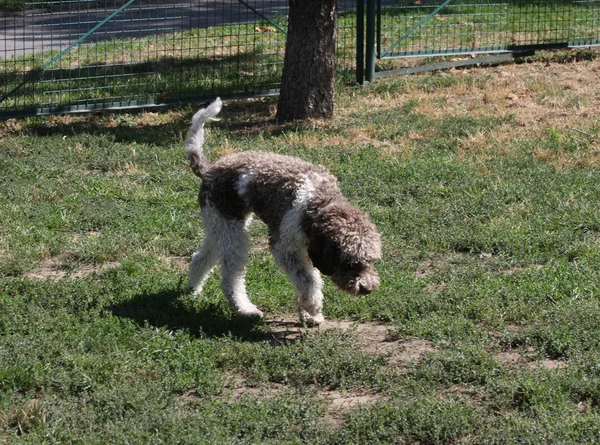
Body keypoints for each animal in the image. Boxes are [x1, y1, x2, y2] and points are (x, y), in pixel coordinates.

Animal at [183, 97, 382, 322]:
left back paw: (193, 288)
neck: (319, 204)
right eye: (349, 262)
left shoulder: (305, 249)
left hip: (218, 224)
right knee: (230, 278)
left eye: (370, 261)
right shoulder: (285, 247)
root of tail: (208, 170)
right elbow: (308, 279)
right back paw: (245, 309)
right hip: (232, 231)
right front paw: (313, 307)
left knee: (201, 256)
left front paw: (307, 314)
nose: (367, 288)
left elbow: (305, 279)